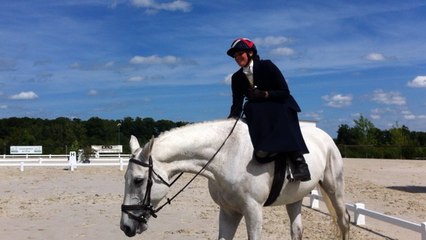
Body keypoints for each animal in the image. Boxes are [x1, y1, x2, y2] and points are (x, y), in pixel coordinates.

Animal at [119, 118, 350, 240]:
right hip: (294, 198)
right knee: (297, 229)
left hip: (335, 187)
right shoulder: (229, 211)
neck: (227, 156)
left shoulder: (253, 210)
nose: (125, 227)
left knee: (344, 221)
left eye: (138, 180)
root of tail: (325, 137)